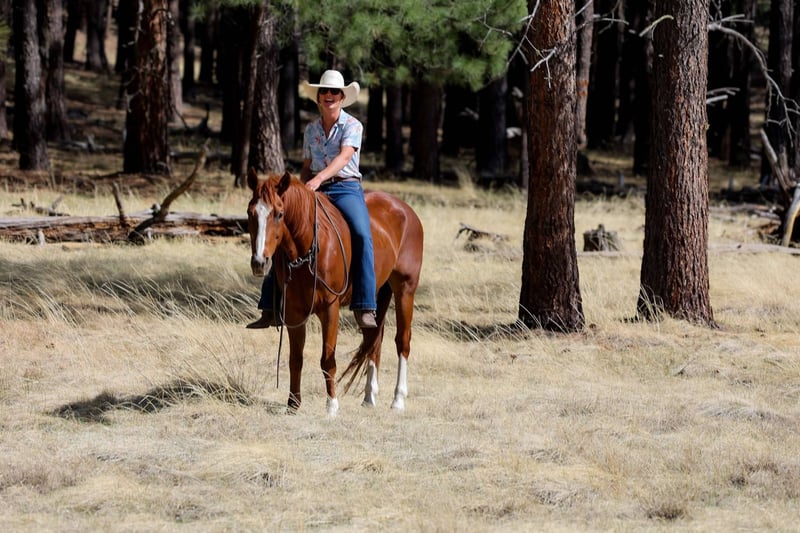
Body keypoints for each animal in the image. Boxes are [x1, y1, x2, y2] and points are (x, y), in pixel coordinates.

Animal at [246, 169, 424, 416]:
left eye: (279, 214)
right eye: (250, 213)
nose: (259, 263)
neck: (309, 248)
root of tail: (407, 211)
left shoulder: (330, 309)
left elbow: (327, 359)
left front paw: (331, 406)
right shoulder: (294, 312)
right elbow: (295, 359)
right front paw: (293, 404)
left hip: (405, 288)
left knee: (402, 341)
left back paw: (398, 400)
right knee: (374, 339)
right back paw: (369, 397)